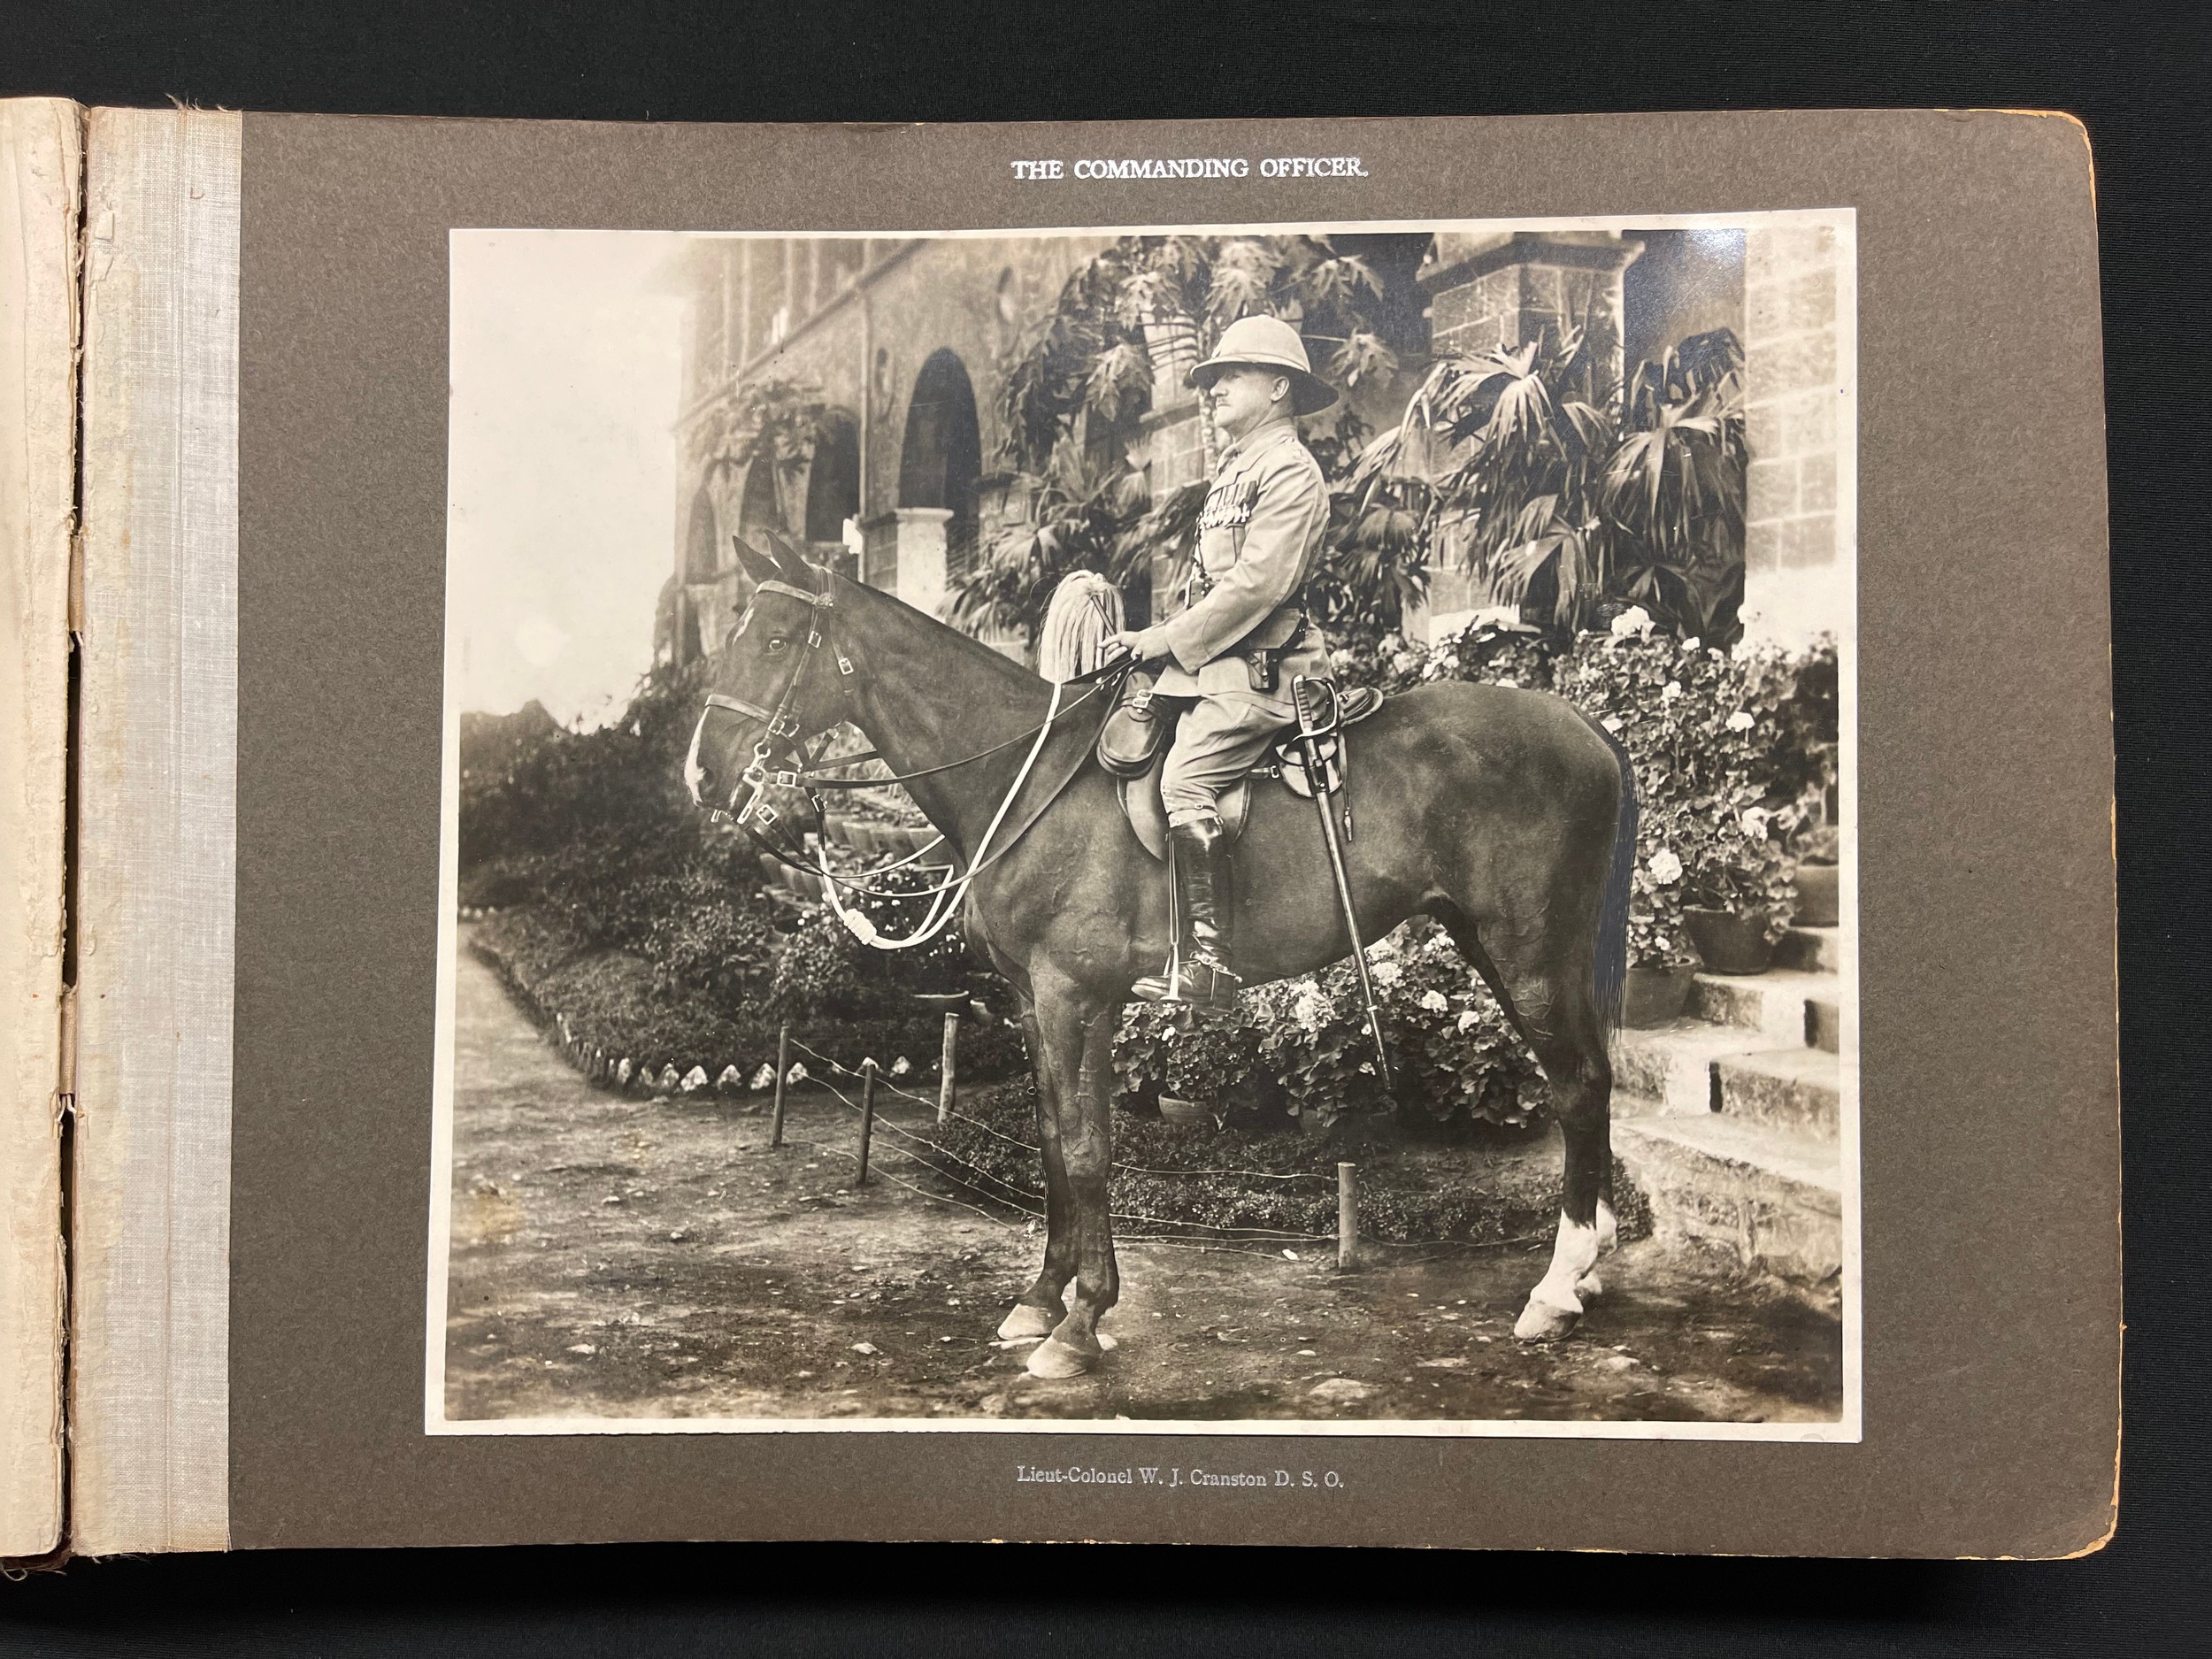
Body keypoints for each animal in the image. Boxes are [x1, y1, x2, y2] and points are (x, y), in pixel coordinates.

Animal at [681, 540, 1637, 1380]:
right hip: (1491, 940)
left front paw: (1081, 1322)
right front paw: (1042, 1297)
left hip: (1529, 950)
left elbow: (1086, 1149)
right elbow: (1052, 1137)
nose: (702, 776)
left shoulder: (1074, 998)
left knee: (1578, 1085)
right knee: (1586, 1083)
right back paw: (1588, 1264)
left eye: (775, 641)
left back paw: (1558, 1285)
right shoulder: (1036, 1002)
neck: (1024, 781)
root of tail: (1580, 722)